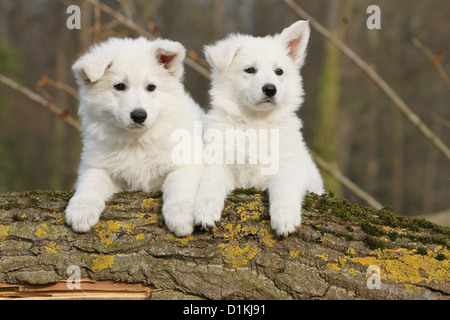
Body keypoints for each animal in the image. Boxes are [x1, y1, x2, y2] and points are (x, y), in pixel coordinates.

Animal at [66, 38, 205, 238]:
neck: (137, 141)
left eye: (151, 87)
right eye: (119, 86)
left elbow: (177, 182)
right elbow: (91, 180)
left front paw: (180, 216)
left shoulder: (188, 162)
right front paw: (81, 210)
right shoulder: (98, 165)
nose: (139, 115)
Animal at [193, 19, 324, 235]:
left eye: (279, 71)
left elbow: (284, 186)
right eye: (250, 70)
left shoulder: (290, 166)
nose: (270, 89)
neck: (256, 123)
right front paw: (205, 210)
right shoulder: (219, 161)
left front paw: (285, 218)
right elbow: (211, 183)